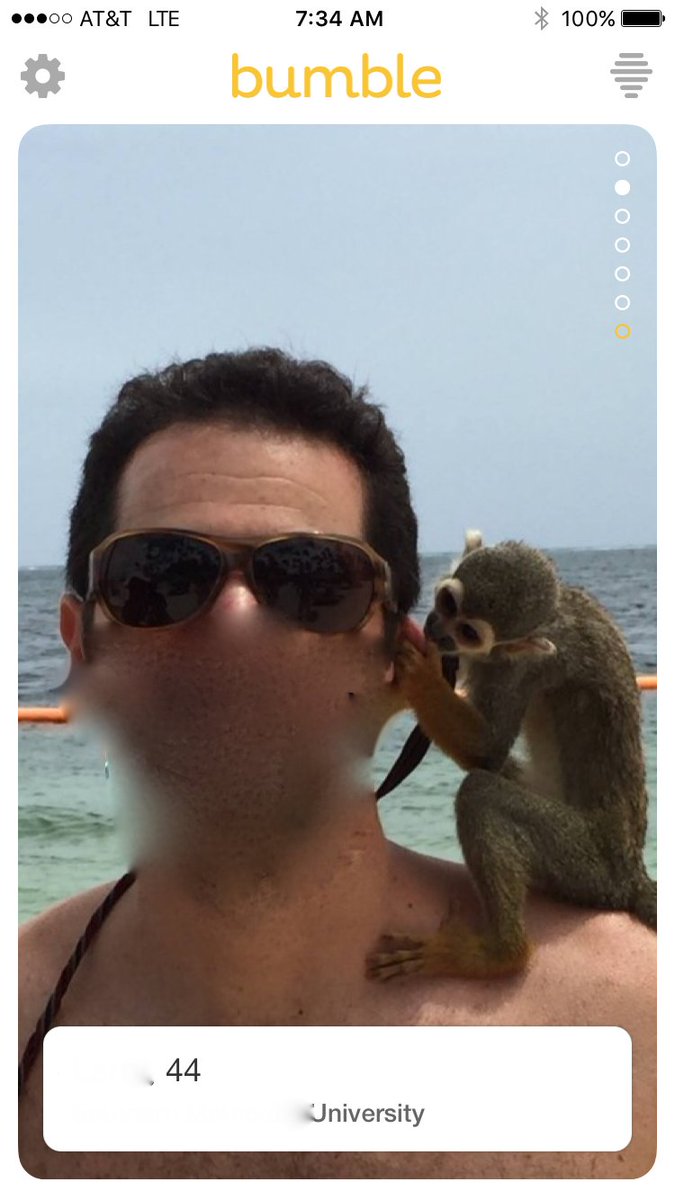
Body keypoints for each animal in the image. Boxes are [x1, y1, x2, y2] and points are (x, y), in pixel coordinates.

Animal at [368, 532, 656, 982]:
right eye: (448, 603)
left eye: (469, 632)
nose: (437, 629)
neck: (557, 612)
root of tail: (631, 872)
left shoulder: (523, 666)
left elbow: (488, 751)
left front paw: (423, 674)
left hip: (585, 863)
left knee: (481, 793)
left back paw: (500, 954)